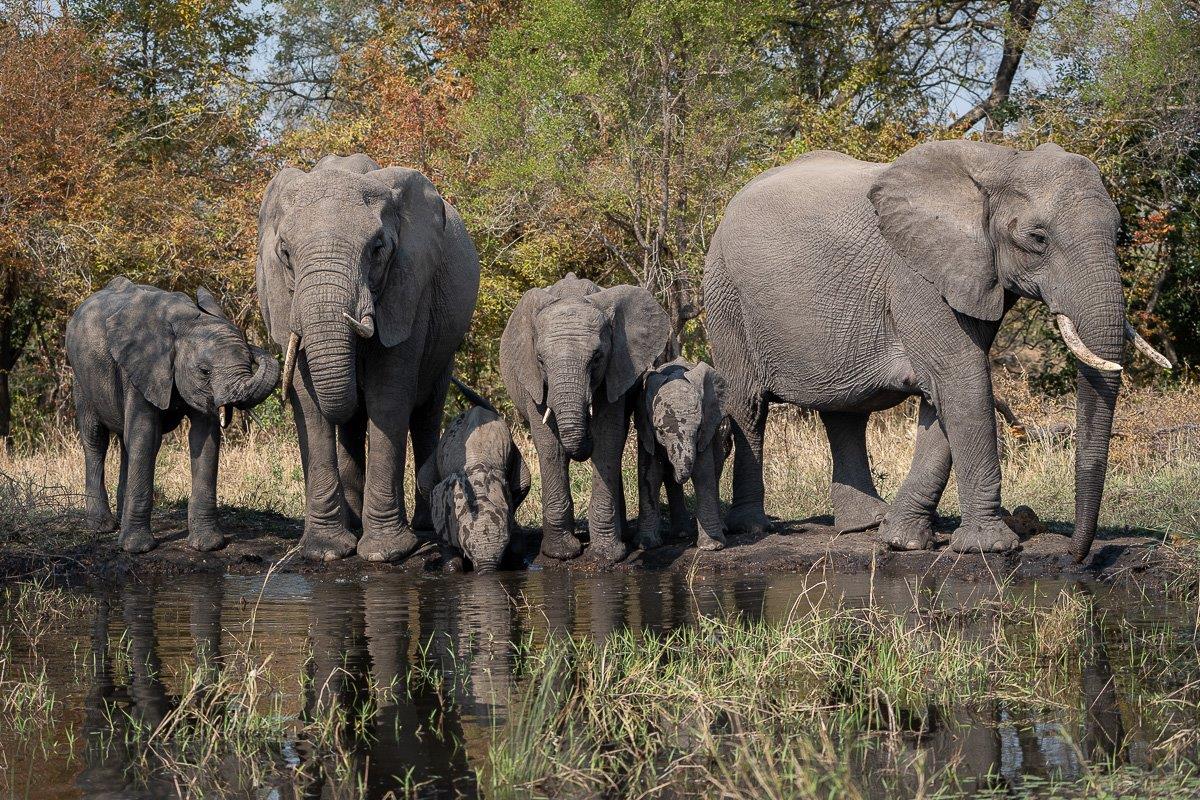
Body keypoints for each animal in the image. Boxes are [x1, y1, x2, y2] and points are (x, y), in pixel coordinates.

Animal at [66, 277, 280, 553]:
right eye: (204, 371)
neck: (185, 322)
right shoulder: (141, 367)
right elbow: (146, 436)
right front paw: (137, 548)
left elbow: (204, 440)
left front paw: (208, 545)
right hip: (81, 377)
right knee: (95, 440)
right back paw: (100, 527)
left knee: (125, 442)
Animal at [257, 153, 480, 562]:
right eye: (285, 253)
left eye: (377, 249)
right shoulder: (280, 295)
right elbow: (308, 404)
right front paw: (325, 552)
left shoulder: (409, 289)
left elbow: (388, 396)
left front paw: (384, 553)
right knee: (351, 421)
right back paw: (354, 523)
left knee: (426, 413)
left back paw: (424, 526)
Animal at [499, 273, 670, 563]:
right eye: (541, 360)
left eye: (597, 358)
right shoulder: (533, 379)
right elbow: (549, 445)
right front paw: (561, 554)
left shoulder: (617, 368)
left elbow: (607, 440)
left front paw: (607, 556)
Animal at [633, 358, 728, 551]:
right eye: (660, 432)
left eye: (698, 429)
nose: (680, 475)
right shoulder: (646, 428)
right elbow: (650, 475)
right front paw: (646, 545)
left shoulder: (706, 430)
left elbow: (703, 474)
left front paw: (712, 547)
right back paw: (682, 533)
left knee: (716, 469)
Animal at [703, 141, 1171, 560]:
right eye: (1037, 238)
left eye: (1119, 234)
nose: (1075, 555)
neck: (1002, 160)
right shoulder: (914, 275)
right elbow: (962, 377)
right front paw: (990, 547)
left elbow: (946, 395)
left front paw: (901, 540)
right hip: (726, 294)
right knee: (748, 406)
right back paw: (753, 528)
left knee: (845, 412)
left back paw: (865, 523)